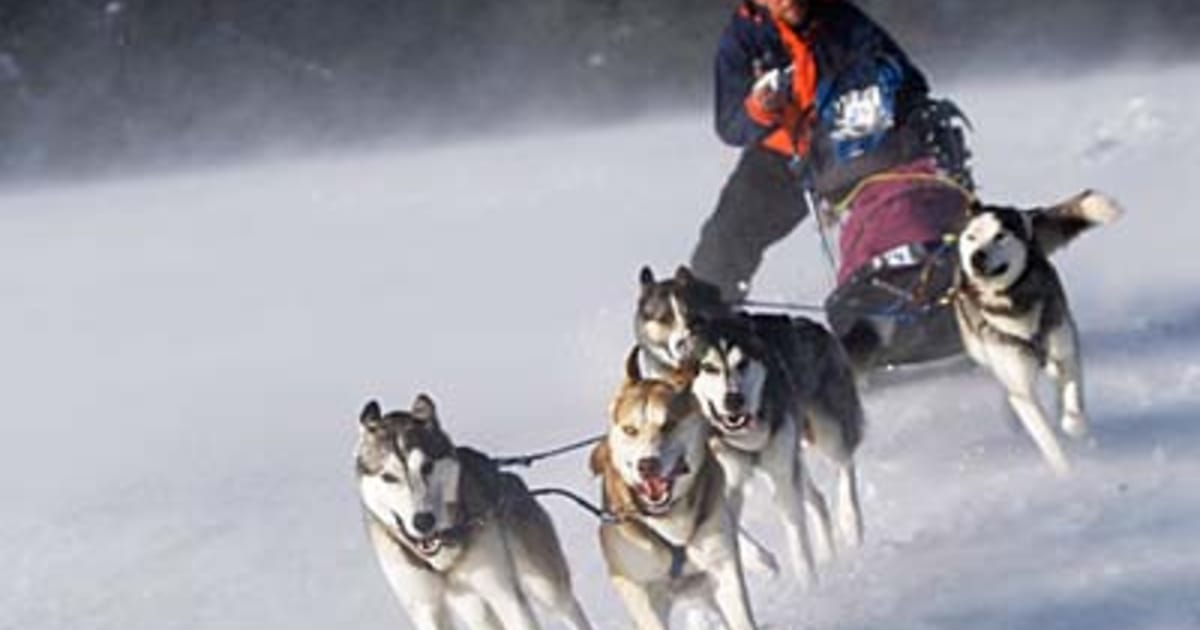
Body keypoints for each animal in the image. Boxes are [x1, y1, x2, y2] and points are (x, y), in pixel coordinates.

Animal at [352, 396, 592, 624]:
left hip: (546, 586)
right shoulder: (425, 608)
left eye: (427, 466)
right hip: (473, 607)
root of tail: (505, 474)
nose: (423, 521)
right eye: (388, 477)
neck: (443, 558)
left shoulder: (504, 594)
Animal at [592, 357, 758, 628]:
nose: (647, 465)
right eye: (630, 430)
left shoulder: (723, 568)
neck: (668, 519)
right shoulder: (640, 592)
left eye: (669, 424)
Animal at [633, 266, 868, 554]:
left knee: (844, 465)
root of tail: (812, 326)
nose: (682, 345)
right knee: (816, 499)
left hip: (826, 432)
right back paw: (829, 554)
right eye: (663, 318)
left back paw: (851, 524)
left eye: (694, 317)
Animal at [950, 189, 1118, 475]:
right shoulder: (1021, 388)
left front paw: (1075, 425)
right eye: (971, 236)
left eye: (1000, 235)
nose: (977, 256)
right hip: (982, 352)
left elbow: (1074, 397)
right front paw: (1067, 474)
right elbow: (1046, 437)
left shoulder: (1067, 350)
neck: (1012, 303)